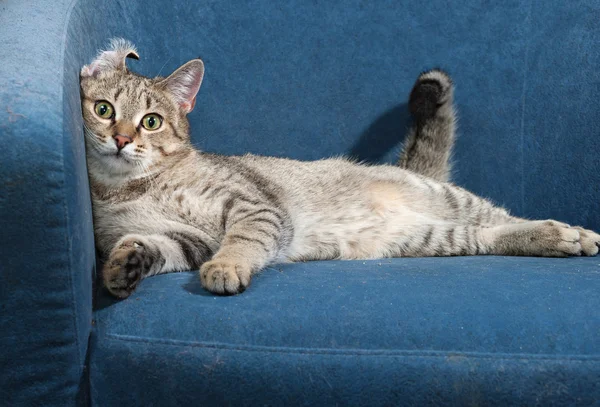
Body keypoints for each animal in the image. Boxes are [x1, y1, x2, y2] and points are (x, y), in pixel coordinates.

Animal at [81, 39, 600, 298]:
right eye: (104, 110)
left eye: (151, 121)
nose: (121, 139)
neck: (129, 189)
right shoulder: (184, 240)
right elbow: (153, 247)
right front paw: (124, 266)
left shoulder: (254, 207)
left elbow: (243, 241)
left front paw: (227, 266)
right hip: (430, 238)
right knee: (485, 237)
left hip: (454, 201)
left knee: (503, 217)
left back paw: (569, 233)